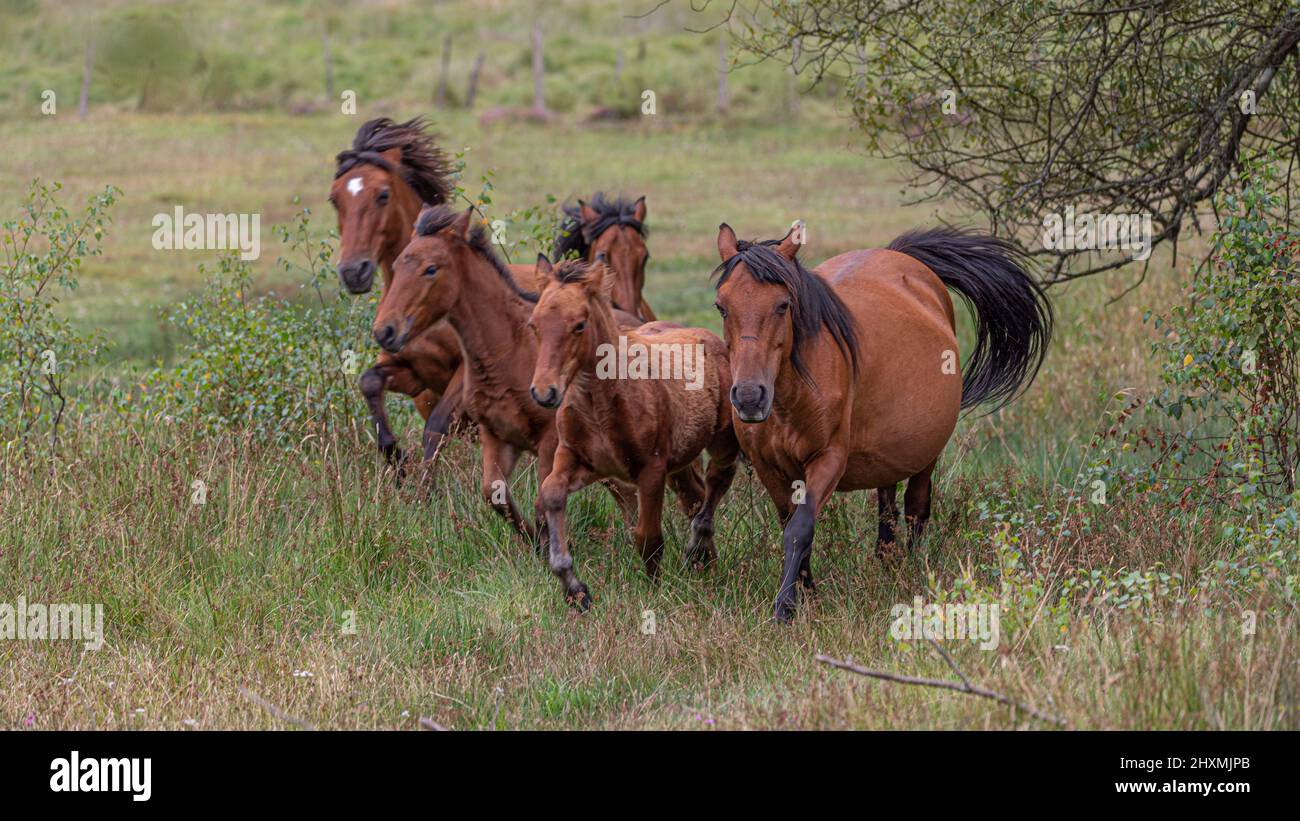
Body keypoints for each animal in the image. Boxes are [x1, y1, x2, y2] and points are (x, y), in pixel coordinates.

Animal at [371, 204, 646, 542]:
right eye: (396, 265)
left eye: (431, 269)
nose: (385, 330)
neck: (509, 349)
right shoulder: (498, 437)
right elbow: (495, 494)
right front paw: (533, 541)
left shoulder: (549, 442)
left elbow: (543, 500)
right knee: (626, 493)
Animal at [529, 258, 740, 610]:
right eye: (534, 324)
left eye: (579, 325)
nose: (544, 392)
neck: (599, 405)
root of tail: (711, 337)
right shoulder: (580, 460)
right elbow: (551, 494)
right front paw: (575, 590)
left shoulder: (651, 470)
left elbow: (647, 536)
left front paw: (654, 591)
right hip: (679, 463)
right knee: (694, 497)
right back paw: (704, 562)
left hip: (722, 444)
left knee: (715, 484)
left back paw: (696, 551)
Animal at [711, 223, 1052, 622]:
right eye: (721, 307)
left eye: (783, 304)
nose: (749, 397)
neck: (790, 400)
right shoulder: (770, 468)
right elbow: (790, 523)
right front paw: (807, 592)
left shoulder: (828, 460)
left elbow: (799, 528)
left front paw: (786, 606)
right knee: (887, 501)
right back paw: (885, 559)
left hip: (926, 453)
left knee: (916, 507)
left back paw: (911, 567)